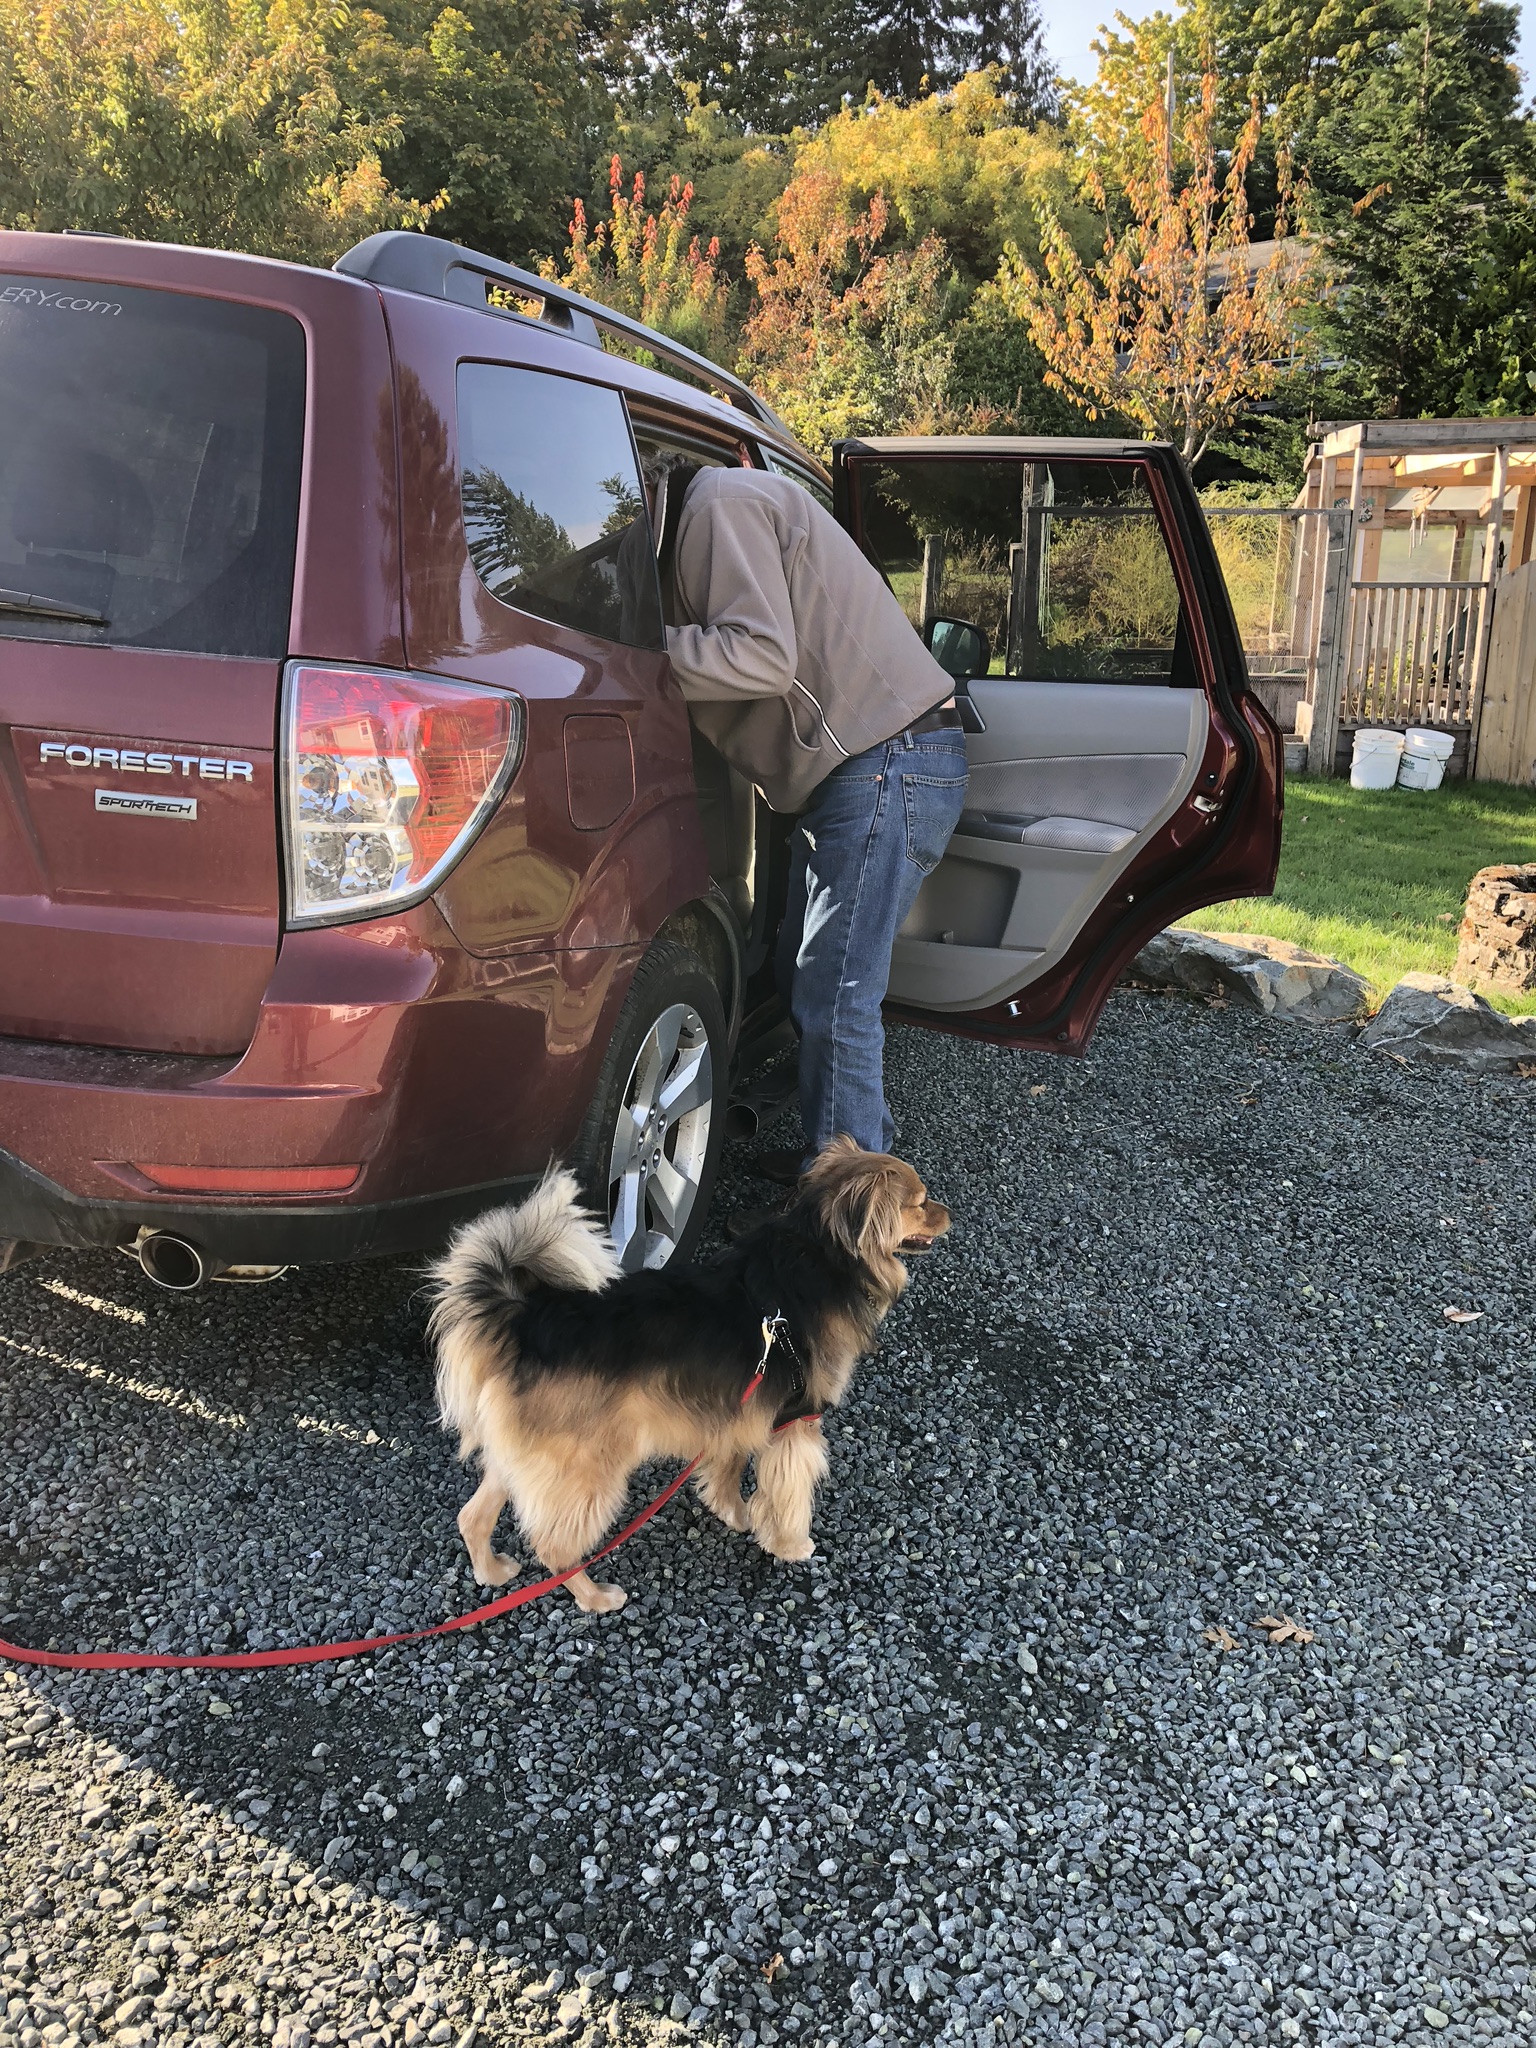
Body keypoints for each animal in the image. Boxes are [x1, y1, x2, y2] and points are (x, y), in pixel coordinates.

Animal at [426, 1137, 949, 1613]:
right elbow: (789, 1493)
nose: (950, 1214)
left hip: (531, 1454)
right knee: (555, 1547)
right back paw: (595, 1597)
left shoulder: (739, 1409)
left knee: (473, 1516)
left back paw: (491, 1571)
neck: (822, 1252)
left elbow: (729, 1468)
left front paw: (734, 1513)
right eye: (920, 1203)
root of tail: (527, 1321)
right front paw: (790, 1545)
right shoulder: (796, 1422)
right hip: (587, 1466)